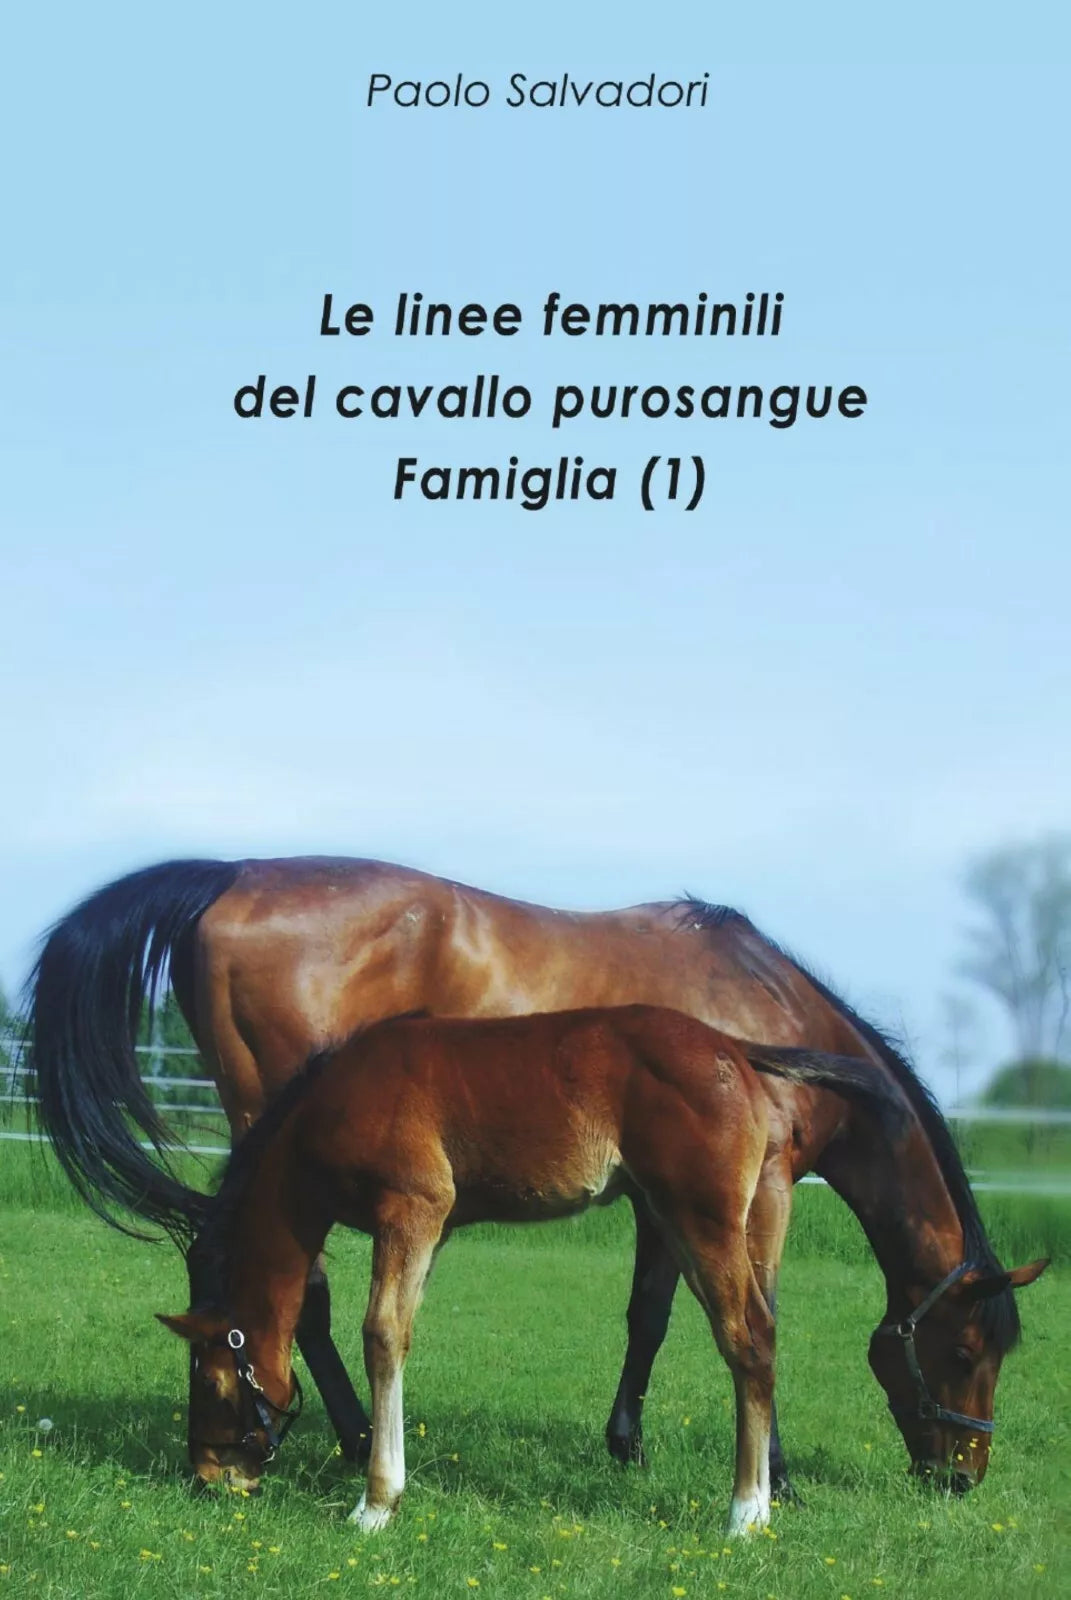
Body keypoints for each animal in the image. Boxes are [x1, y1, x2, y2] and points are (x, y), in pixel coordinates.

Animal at [23, 854, 1014, 1493]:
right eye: (966, 1352)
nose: (961, 1475)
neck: (763, 1016)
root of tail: (231, 875)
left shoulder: (664, 1199)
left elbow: (652, 1317)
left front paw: (630, 1444)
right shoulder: (759, 1192)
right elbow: (727, 1314)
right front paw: (762, 1472)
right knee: (284, 1288)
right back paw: (354, 1438)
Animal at [158, 1005, 1047, 1533]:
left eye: (208, 1379)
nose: (205, 1478)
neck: (331, 1103)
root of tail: (735, 1051)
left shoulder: (408, 1209)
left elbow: (382, 1335)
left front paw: (374, 1504)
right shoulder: (431, 1229)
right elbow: (400, 1331)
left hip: (699, 1215)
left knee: (748, 1338)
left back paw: (745, 1512)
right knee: (756, 1331)